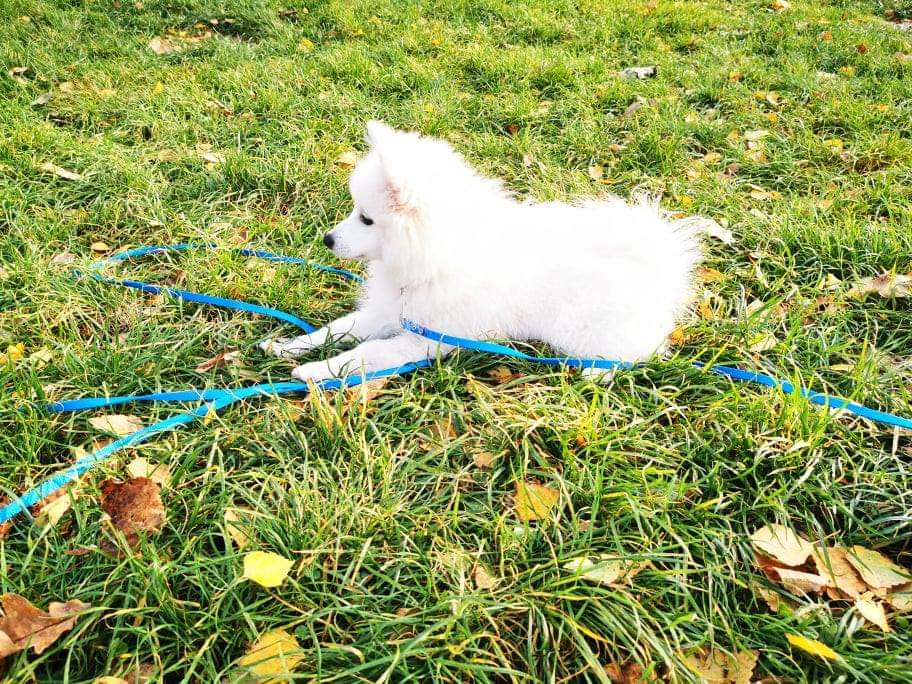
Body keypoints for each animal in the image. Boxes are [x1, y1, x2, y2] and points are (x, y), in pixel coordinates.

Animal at [260, 121, 701, 382]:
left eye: (366, 219)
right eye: (355, 211)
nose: (328, 239)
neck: (432, 260)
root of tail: (659, 266)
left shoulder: (426, 339)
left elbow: (368, 352)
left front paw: (316, 370)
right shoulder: (389, 311)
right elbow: (338, 329)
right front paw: (287, 347)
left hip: (587, 332)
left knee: (633, 355)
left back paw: (594, 376)